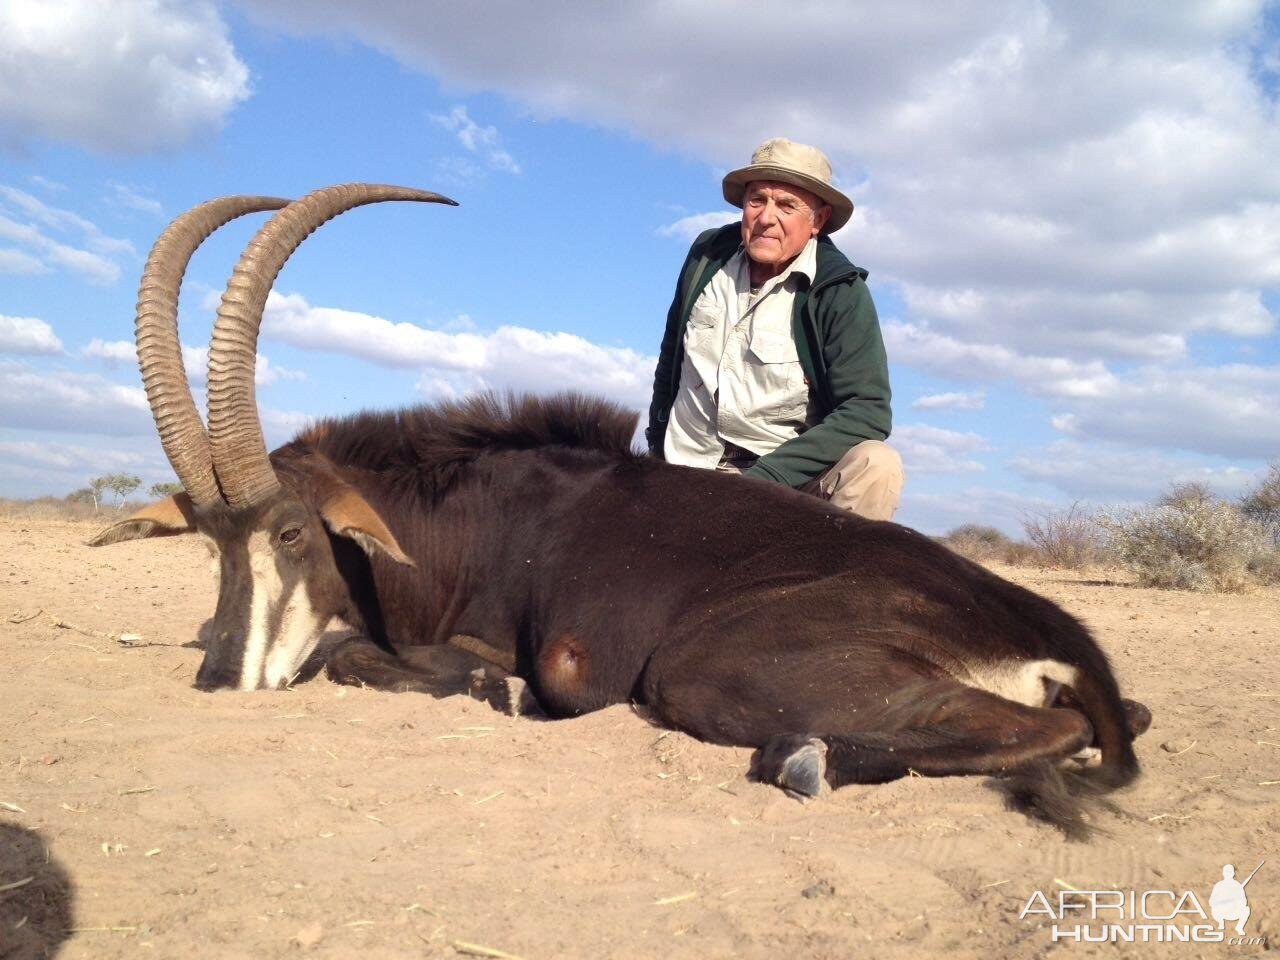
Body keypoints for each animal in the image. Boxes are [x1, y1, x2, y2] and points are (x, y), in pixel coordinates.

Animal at [90, 185, 1152, 834]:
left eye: (291, 532)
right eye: (211, 546)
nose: (218, 683)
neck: (477, 515)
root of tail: (1046, 625)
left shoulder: (552, 655)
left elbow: (368, 655)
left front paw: (492, 687)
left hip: (704, 665)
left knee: (1046, 733)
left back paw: (805, 758)